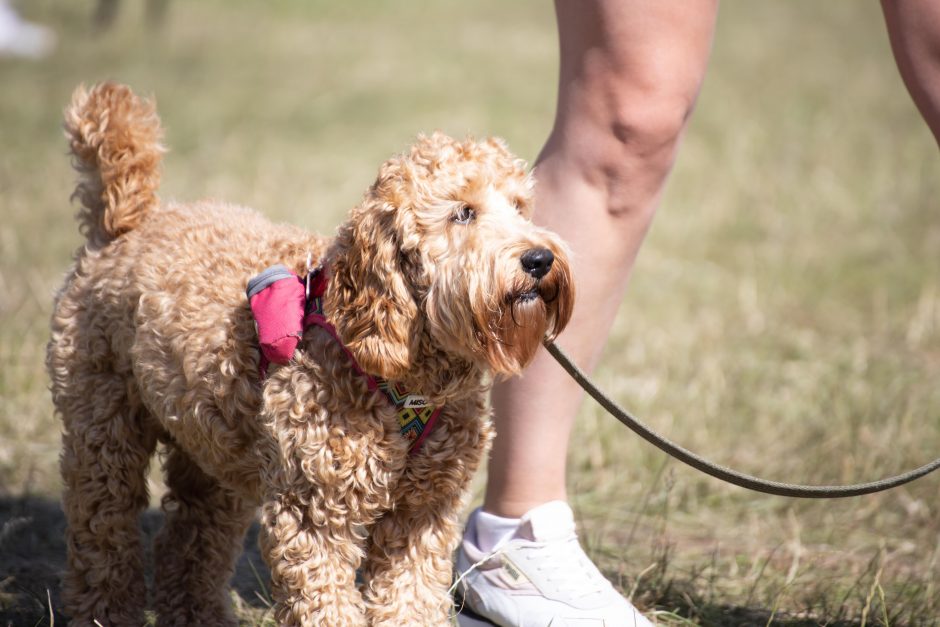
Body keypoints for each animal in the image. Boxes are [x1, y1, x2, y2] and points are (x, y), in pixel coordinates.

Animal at [49, 83, 572, 627]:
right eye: (463, 212)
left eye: (520, 207)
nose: (540, 259)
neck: (403, 379)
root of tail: (129, 223)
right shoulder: (313, 512)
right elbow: (326, 603)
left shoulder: (424, 512)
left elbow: (410, 597)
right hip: (102, 423)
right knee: (102, 532)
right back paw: (104, 609)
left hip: (212, 446)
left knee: (190, 536)